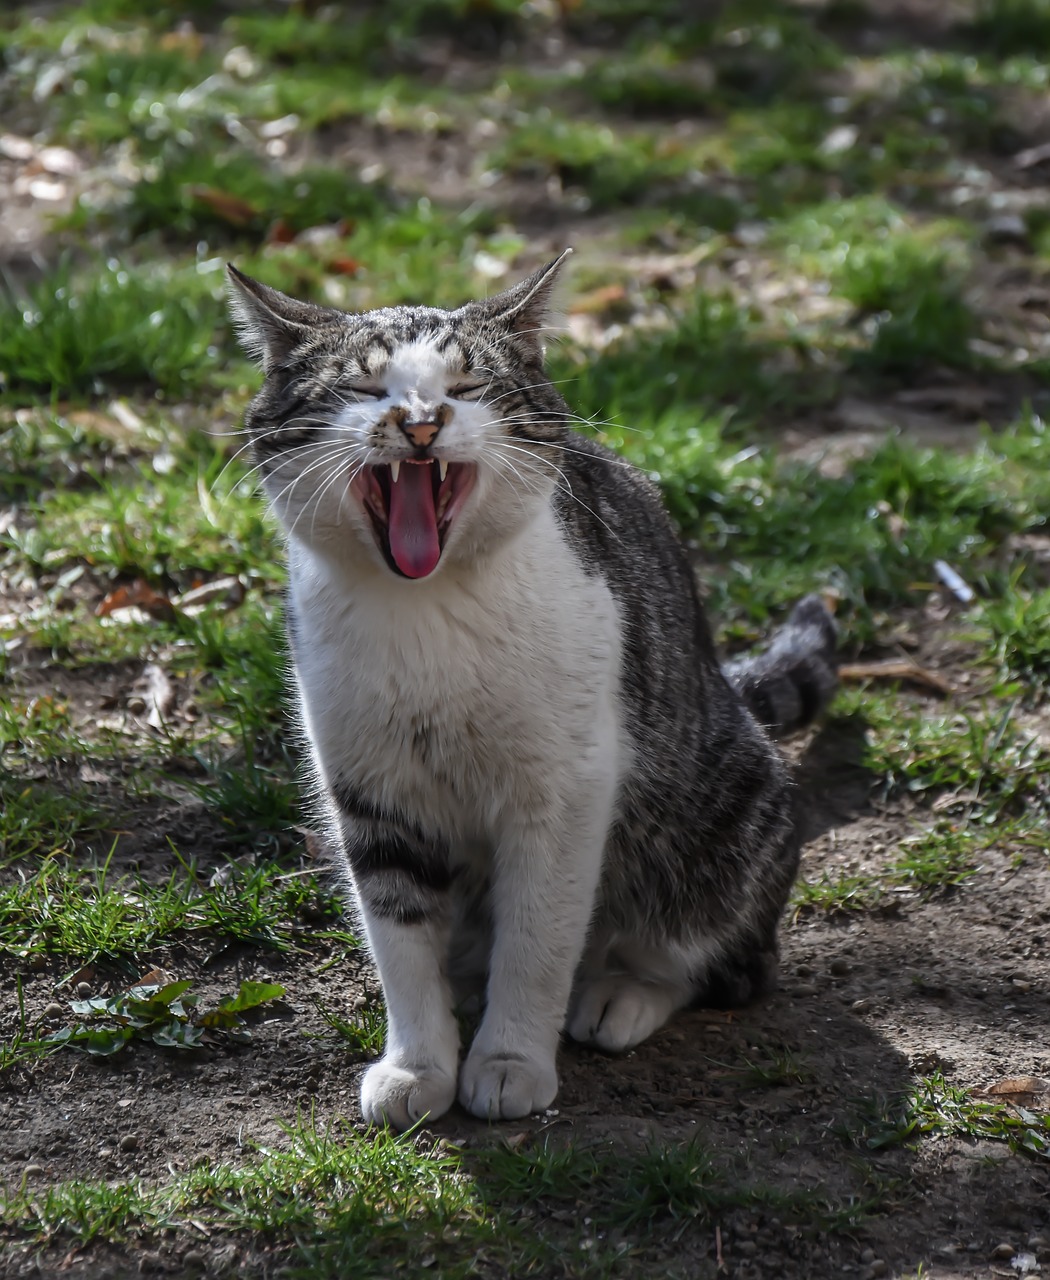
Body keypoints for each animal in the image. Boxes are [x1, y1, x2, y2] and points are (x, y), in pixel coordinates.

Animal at [227, 252, 834, 1131]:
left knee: (726, 963)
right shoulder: (371, 793)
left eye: (467, 384)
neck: (428, 613)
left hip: (721, 818)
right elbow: (400, 943)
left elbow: (538, 940)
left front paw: (511, 1059)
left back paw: (619, 996)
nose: (420, 424)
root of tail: (729, 690)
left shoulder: (566, 788)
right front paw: (419, 1063)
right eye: (366, 388)